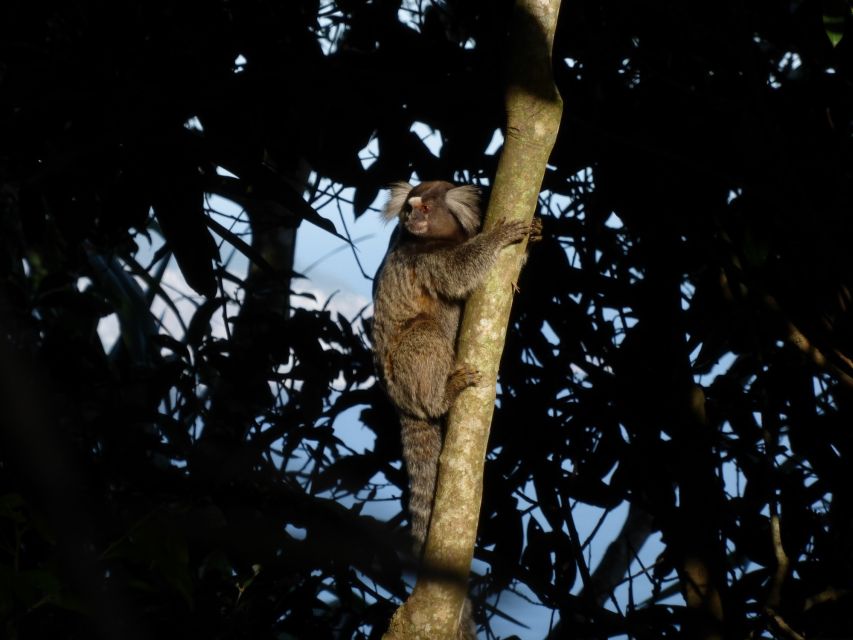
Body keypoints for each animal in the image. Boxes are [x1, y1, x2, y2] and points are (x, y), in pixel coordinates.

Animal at [372, 178, 532, 552]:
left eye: (425, 208)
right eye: (409, 208)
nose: (413, 217)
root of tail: (398, 402)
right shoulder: (424, 259)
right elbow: (459, 273)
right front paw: (499, 237)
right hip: (401, 375)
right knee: (426, 331)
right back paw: (443, 395)